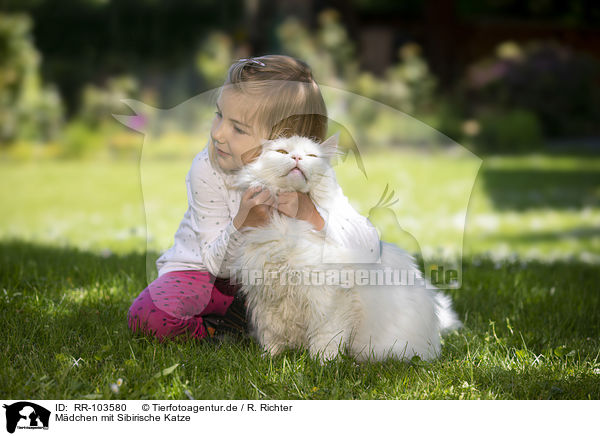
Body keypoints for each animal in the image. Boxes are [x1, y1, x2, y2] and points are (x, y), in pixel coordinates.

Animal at [229, 135, 460, 362]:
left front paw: (324, 364)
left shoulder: (330, 297)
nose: (296, 158)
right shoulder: (268, 299)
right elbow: (272, 336)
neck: (286, 225)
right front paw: (270, 358)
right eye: (283, 152)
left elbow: (326, 338)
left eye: (311, 155)